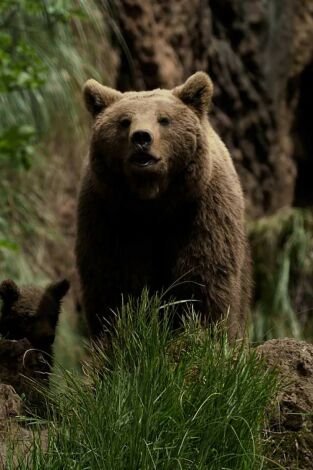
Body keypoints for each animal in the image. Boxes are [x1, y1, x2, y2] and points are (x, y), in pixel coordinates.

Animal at [74, 71, 250, 338]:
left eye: (164, 119)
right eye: (124, 121)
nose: (141, 137)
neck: (153, 201)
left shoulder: (201, 210)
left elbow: (203, 275)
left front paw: (201, 333)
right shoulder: (108, 213)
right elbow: (113, 280)